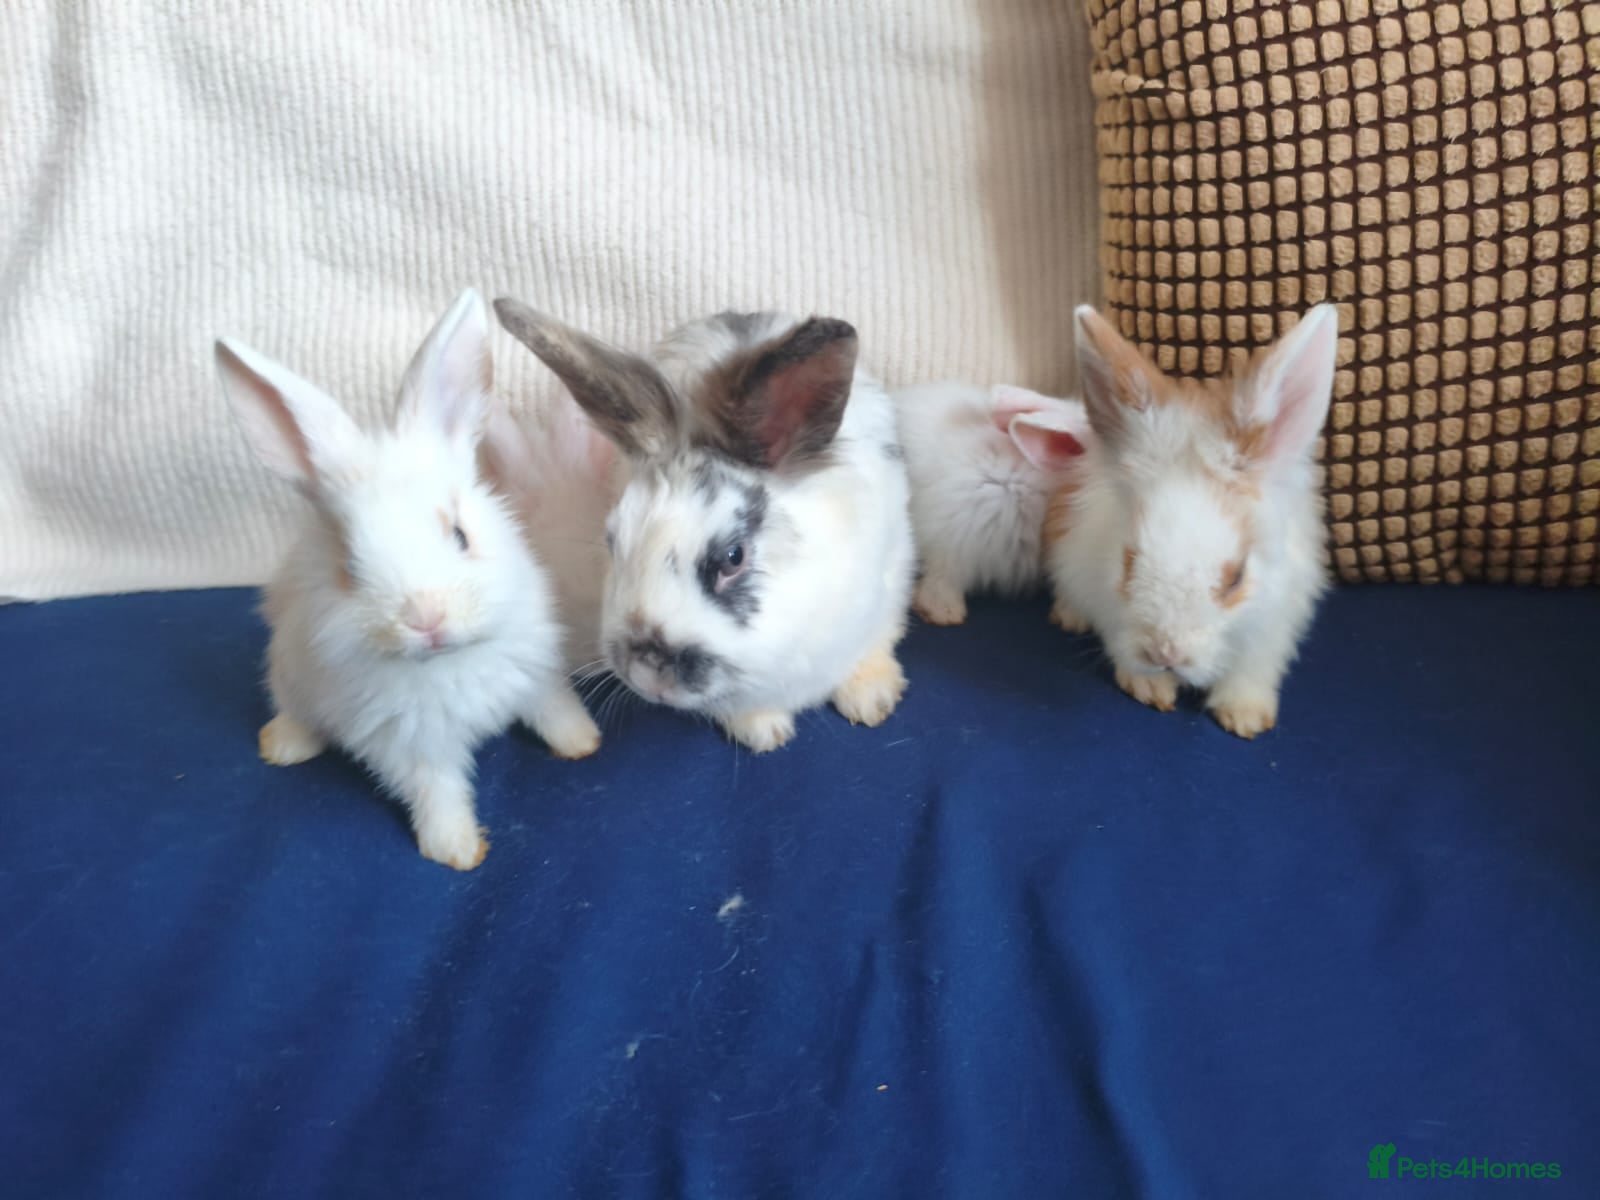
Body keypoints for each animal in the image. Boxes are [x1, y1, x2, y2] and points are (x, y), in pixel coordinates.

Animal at [213, 289, 601, 870]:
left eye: (461, 535)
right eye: (350, 567)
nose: (426, 616)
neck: (449, 662)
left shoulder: (537, 676)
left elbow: (556, 711)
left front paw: (582, 743)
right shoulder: (409, 743)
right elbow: (436, 792)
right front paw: (457, 849)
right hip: (288, 677)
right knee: (293, 712)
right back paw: (282, 746)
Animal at [491, 302, 915, 753]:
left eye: (733, 556)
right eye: (612, 541)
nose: (646, 674)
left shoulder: (892, 575)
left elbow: (876, 643)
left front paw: (872, 700)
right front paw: (764, 732)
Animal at [1046, 303, 1338, 739]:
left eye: (1236, 578)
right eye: (1129, 562)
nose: (1165, 652)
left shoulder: (1275, 621)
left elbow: (1251, 669)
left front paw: (1245, 715)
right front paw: (1149, 686)